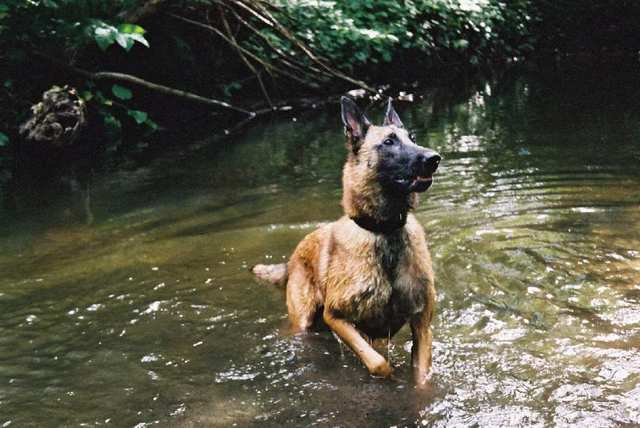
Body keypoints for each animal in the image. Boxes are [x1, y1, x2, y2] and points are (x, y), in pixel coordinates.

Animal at [252, 96, 442, 384]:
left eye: (412, 138)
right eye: (389, 142)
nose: (434, 158)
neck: (384, 231)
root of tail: (293, 257)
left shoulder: (421, 324)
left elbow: (421, 377)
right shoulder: (336, 317)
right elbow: (378, 364)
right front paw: (389, 377)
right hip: (304, 322)